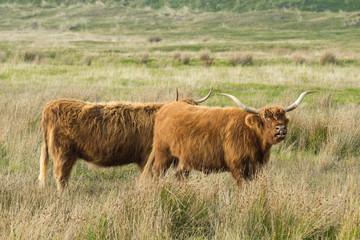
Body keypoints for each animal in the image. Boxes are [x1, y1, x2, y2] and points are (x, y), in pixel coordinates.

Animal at [145, 91, 316, 187]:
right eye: (266, 118)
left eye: (282, 118)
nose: (281, 129)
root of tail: (166, 107)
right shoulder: (237, 168)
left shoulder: (258, 168)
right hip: (163, 154)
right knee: (157, 172)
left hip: (183, 160)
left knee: (180, 176)